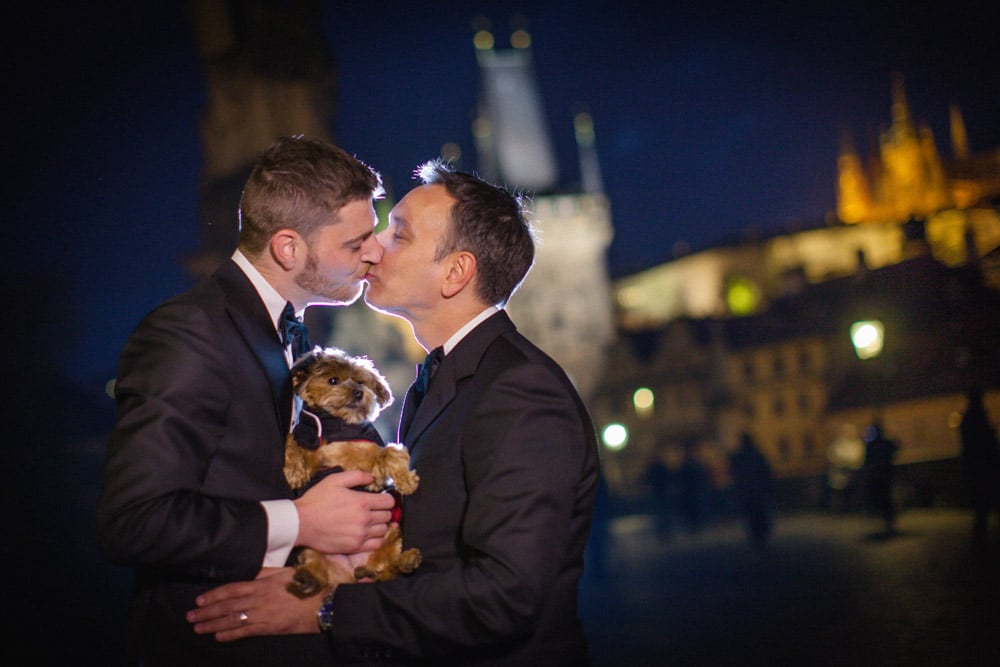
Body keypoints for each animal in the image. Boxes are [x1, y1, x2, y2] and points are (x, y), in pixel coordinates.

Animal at [284, 348, 420, 596]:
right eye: (333, 380)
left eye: (360, 381)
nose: (358, 392)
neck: (333, 424)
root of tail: (352, 571)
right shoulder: (312, 444)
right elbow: (292, 441)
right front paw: (293, 471)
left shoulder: (369, 459)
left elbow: (390, 454)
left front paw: (406, 481)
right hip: (314, 549)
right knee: (319, 570)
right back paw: (306, 578)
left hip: (392, 532)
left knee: (387, 566)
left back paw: (407, 561)